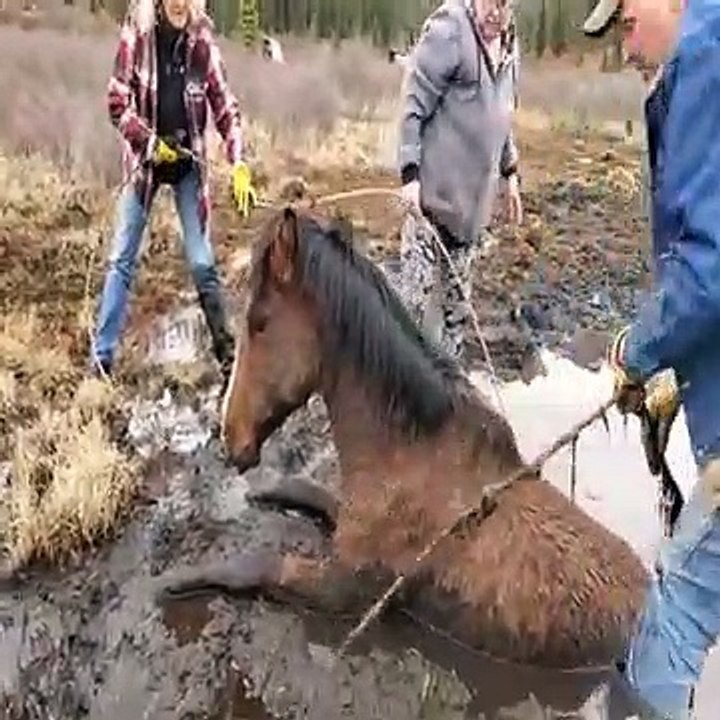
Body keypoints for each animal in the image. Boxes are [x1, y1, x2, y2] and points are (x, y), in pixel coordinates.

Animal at [158, 207, 649, 669]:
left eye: (260, 322)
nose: (231, 438)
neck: (408, 451)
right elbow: (315, 495)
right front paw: (269, 491)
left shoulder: (347, 588)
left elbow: (257, 565)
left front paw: (180, 578)